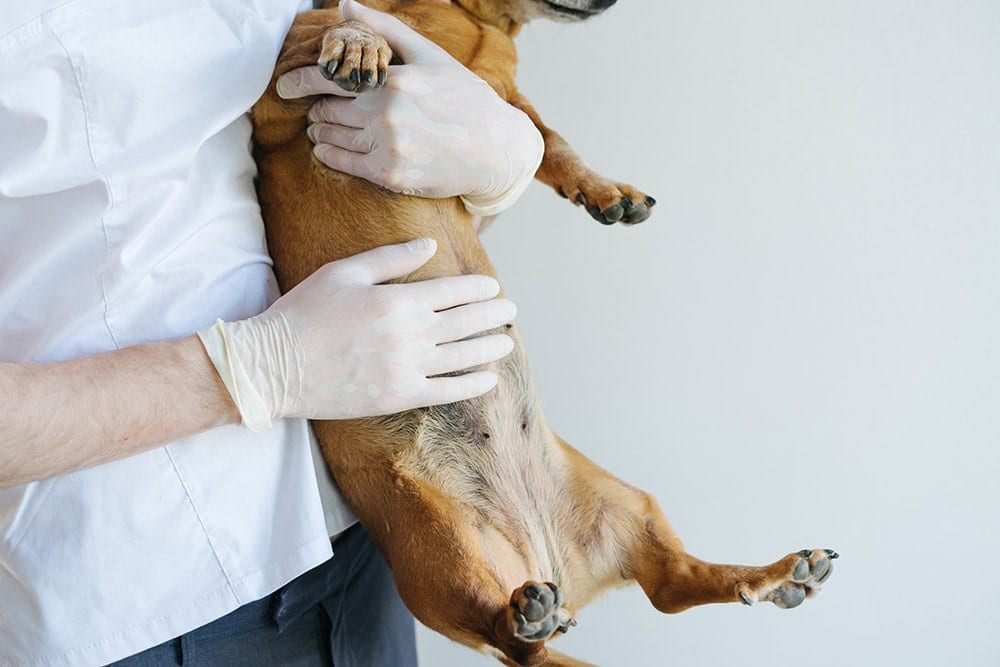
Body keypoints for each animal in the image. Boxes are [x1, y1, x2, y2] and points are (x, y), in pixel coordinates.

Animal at [250, 2, 836, 664]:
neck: (465, 20)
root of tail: (547, 561)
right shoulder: (276, 103)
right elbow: (334, 26)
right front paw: (357, 43)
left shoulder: (502, 103)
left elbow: (545, 139)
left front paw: (604, 189)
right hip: (436, 544)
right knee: (513, 636)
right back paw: (527, 616)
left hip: (630, 504)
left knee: (669, 583)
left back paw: (773, 574)